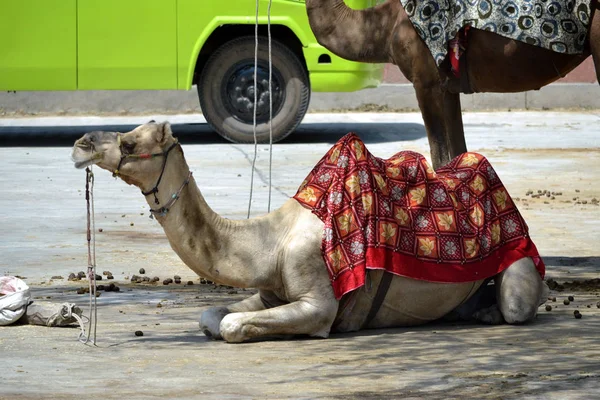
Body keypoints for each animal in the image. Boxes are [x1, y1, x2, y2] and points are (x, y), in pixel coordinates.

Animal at [71, 121, 548, 340]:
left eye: (130, 142)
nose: (80, 144)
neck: (271, 239)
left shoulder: (318, 299)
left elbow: (232, 325)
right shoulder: (269, 290)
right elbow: (211, 316)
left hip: (521, 259)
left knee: (517, 304)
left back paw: (492, 312)